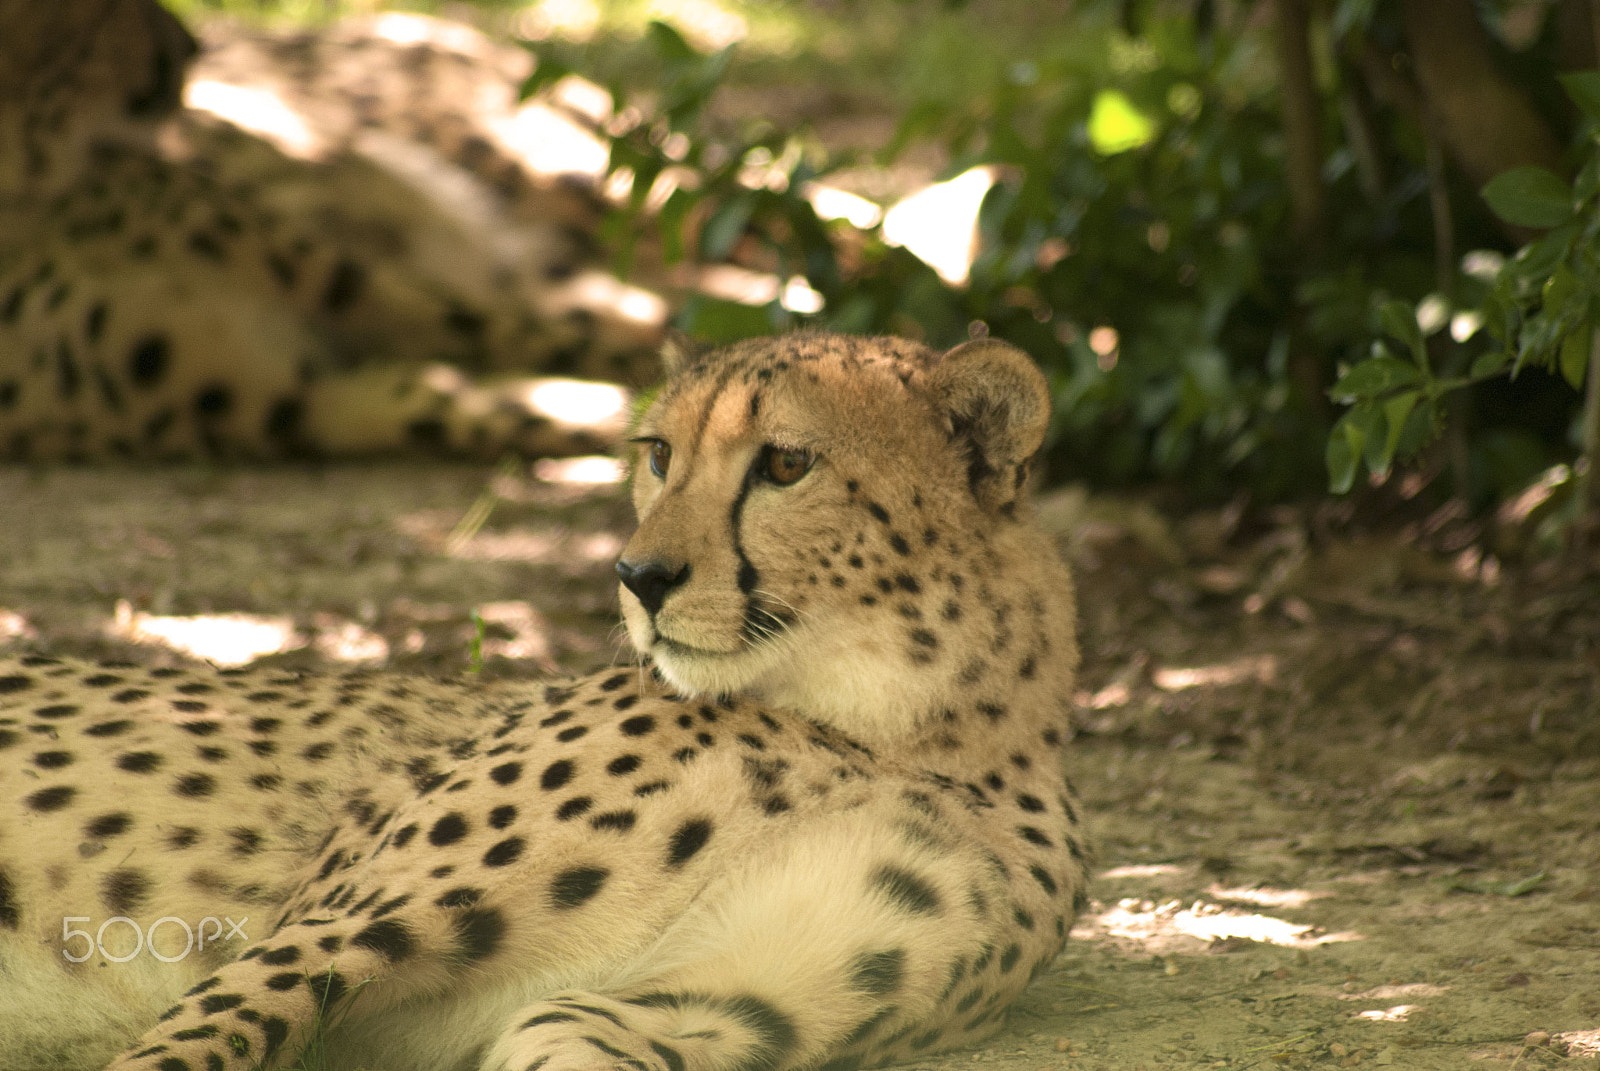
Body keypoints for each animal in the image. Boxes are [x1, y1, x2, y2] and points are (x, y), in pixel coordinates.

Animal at [0, 0, 666, 460]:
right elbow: (479, 406)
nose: (189, 46)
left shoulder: (347, 288)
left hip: (578, 186)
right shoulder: (302, 403)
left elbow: (555, 337)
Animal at [0, 331, 1090, 1071]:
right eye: (659, 454)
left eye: (786, 462)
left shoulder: (683, 1006)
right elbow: (189, 1041)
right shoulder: (320, 932)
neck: (897, 729)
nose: (638, 576)